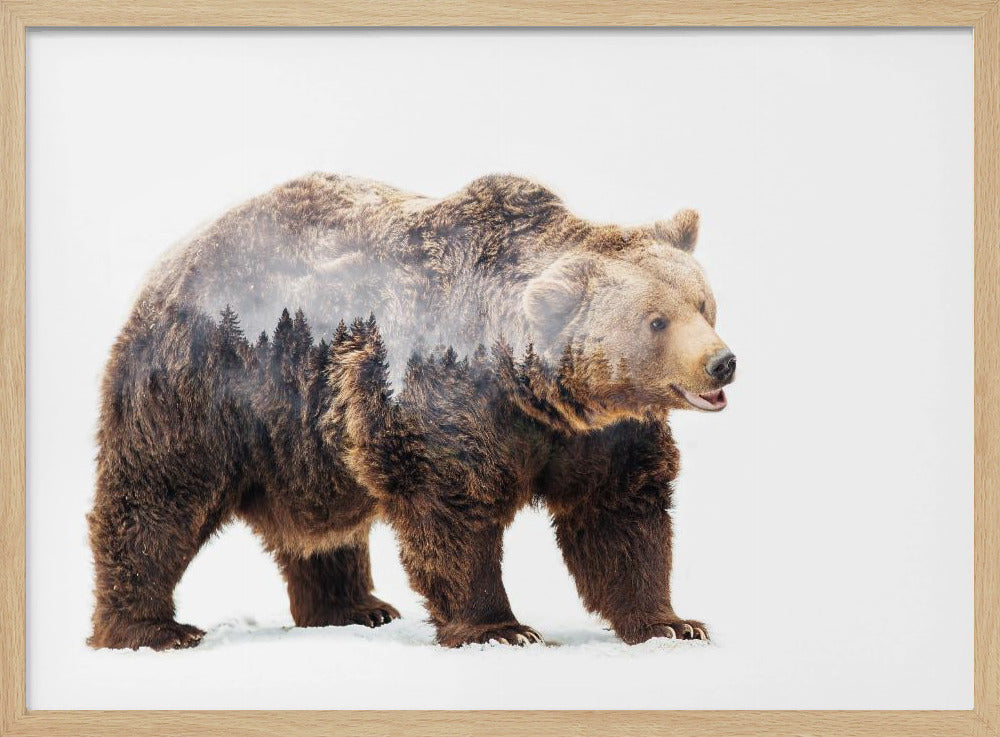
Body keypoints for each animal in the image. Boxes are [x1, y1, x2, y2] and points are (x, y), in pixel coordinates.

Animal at [87, 173, 736, 649]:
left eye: (703, 304)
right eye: (656, 321)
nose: (721, 363)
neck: (533, 391)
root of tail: (170, 260)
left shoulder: (598, 436)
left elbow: (619, 515)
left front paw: (672, 622)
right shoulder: (442, 396)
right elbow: (452, 510)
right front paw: (501, 628)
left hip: (304, 440)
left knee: (322, 530)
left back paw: (354, 607)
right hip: (206, 383)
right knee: (159, 496)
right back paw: (151, 628)